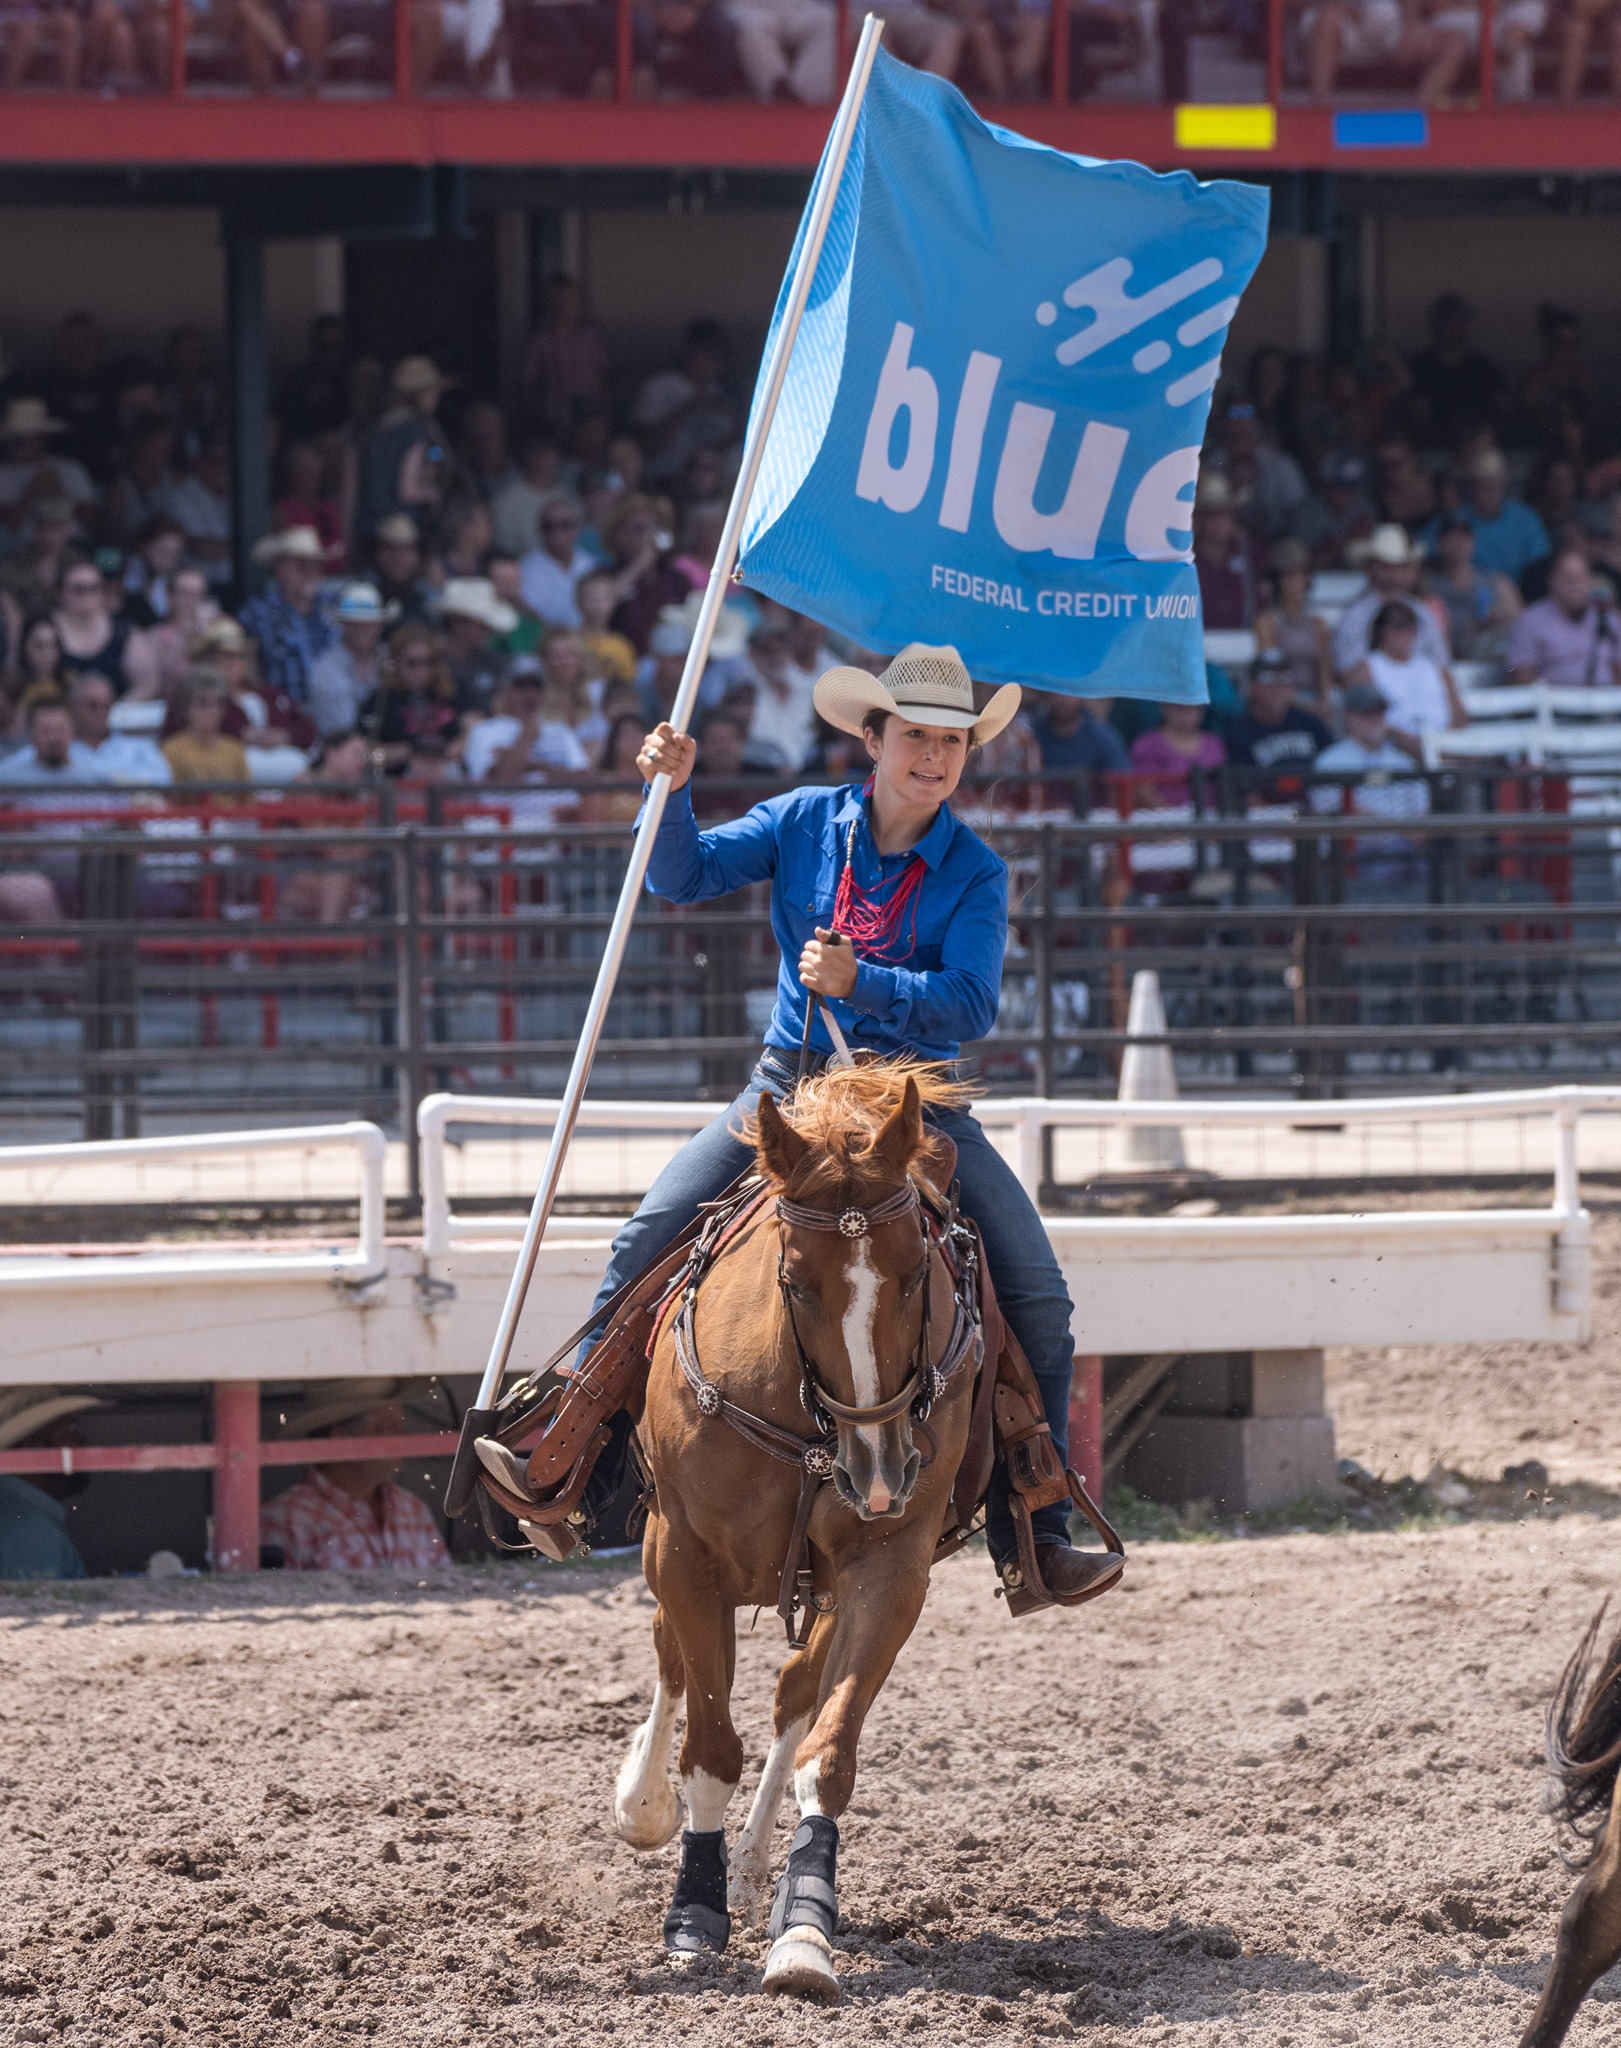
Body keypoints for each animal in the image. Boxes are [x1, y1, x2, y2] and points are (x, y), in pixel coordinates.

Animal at [614, 1064, 982, 2007]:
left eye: (914, 1271)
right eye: (794, 1277)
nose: (879, 1468)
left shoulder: (890, 1567)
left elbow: (827, 1751)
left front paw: (804, 1930)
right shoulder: (687, 1556)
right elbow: (709, 1747)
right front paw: (693, 1914)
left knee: (791, 1694)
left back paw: (752, 1872)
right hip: (666, 1554)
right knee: (673, 1661)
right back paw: (643, 1806)